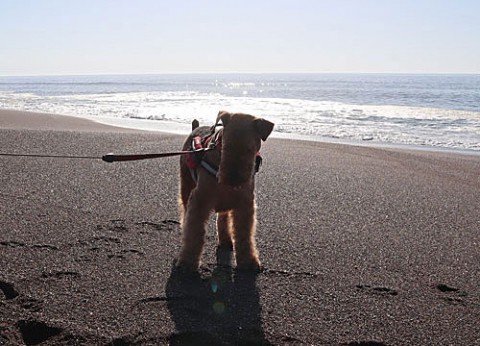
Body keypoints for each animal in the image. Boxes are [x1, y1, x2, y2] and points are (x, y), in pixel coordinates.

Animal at [176, 112, 274, 272]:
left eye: (250, 149)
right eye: (226, 146)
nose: (233, 179)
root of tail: (196, 127)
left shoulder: (245, 204)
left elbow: (244, 235)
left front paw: (249, 261)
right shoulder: (199, 200)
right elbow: (194, 232)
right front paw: (187, 263)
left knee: (222, 218)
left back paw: (226, 240)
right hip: (186, 185)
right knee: (185, 213)